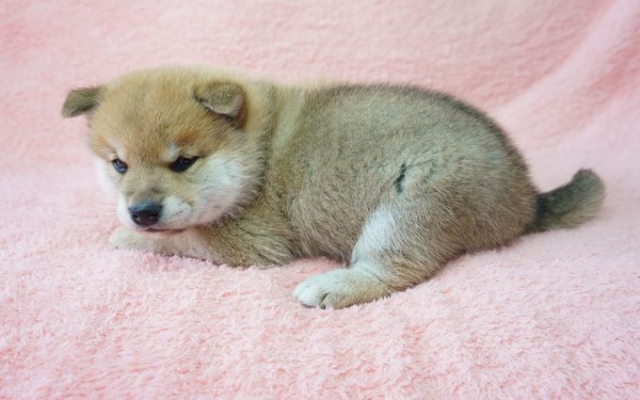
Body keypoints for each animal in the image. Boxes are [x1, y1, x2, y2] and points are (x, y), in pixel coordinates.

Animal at [62, 66, 605, 309]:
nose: (141, 211)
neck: (258, 153)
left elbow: (183, 239)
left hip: (411, 204)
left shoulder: (252, 242)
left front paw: (127, 235)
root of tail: (525, 197)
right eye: (118, 164)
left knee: (395, 269)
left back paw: (332, 285)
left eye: (183, 162)